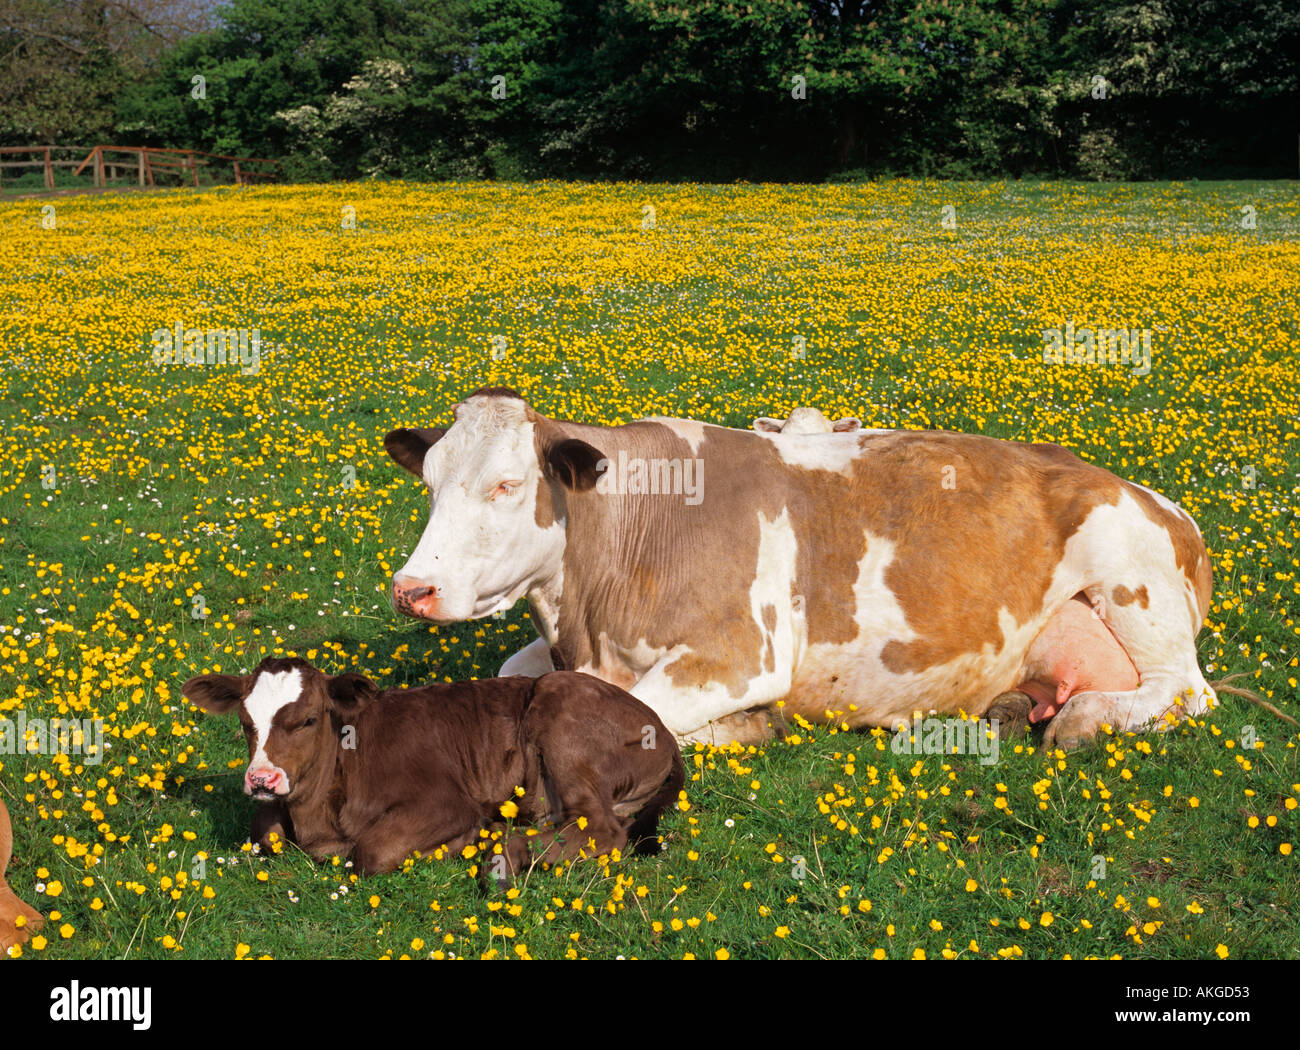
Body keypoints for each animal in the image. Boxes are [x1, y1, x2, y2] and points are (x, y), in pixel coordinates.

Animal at [189, 654, 691, 878]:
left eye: (308, 719)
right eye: (245, 722)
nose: (262, 778)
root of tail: (662, 729)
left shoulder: (446, 801)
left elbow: (369, 852)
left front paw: (462, 842)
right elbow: (265, 831)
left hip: (563, 722)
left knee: (601, 828)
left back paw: (502, 850)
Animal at [382, 384, 1216, 748]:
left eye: (507, 485)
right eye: (429, 482)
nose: (412, 590)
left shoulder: (738, 655)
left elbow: (638, 715)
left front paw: (746, 727)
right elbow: (514, 676)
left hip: (1128, 573)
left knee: (1186, 690)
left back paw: (1084, 717)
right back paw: (1015, 705)